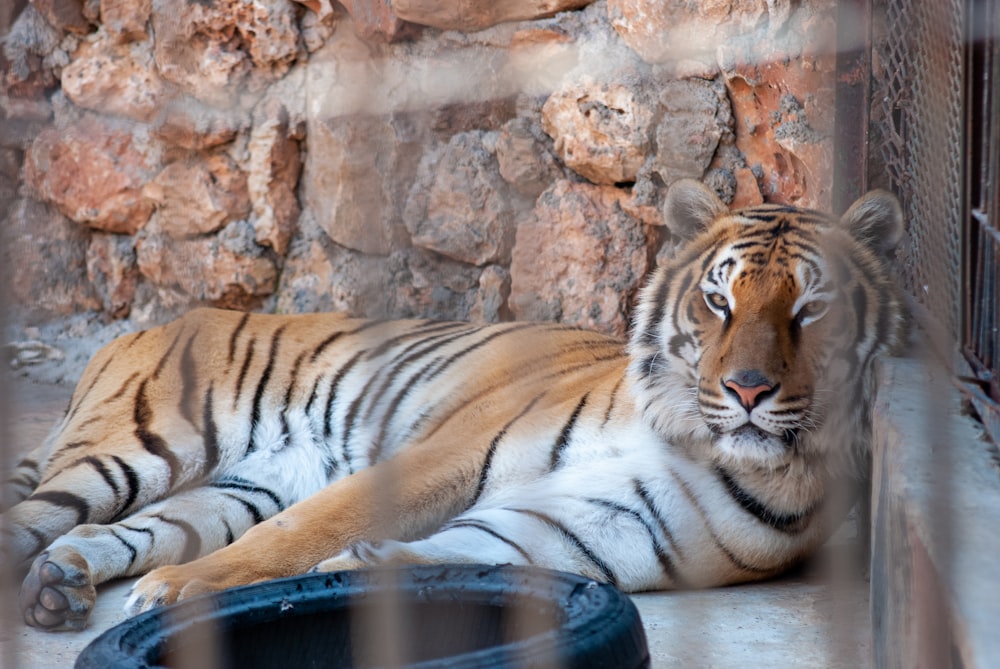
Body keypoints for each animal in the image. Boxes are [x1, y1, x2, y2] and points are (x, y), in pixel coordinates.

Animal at [1, 176, 908, 628]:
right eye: (720, 301)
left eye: (810, 311)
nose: (747, 389)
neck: (690, 433)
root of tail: (152, 324)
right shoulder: (448, 451)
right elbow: (305, 530)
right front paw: (184, 594)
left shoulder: (591, 523)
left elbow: (474, 554)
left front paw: (360, 571)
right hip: (131, 448)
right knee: (41, 515)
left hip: (230, 489)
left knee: (117, 529)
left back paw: (61, 582)